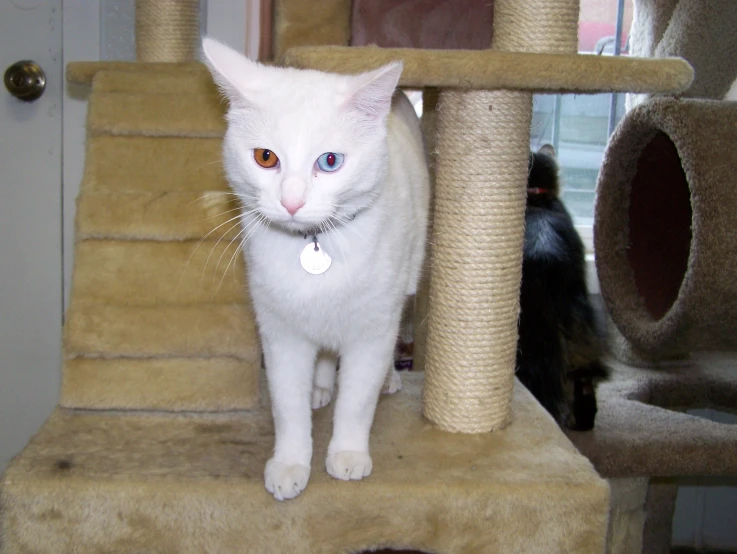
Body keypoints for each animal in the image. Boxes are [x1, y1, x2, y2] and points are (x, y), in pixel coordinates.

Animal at [201, 36, 432, 498]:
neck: (313, 245)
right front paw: (290, 462)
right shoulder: (280, 332)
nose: (291, 202)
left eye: (329, 161)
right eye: (265, 157)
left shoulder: (372, 329)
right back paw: (320, 386)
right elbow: (287, 406)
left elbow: (357, 401)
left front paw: (347, 453)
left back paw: (387, 380)